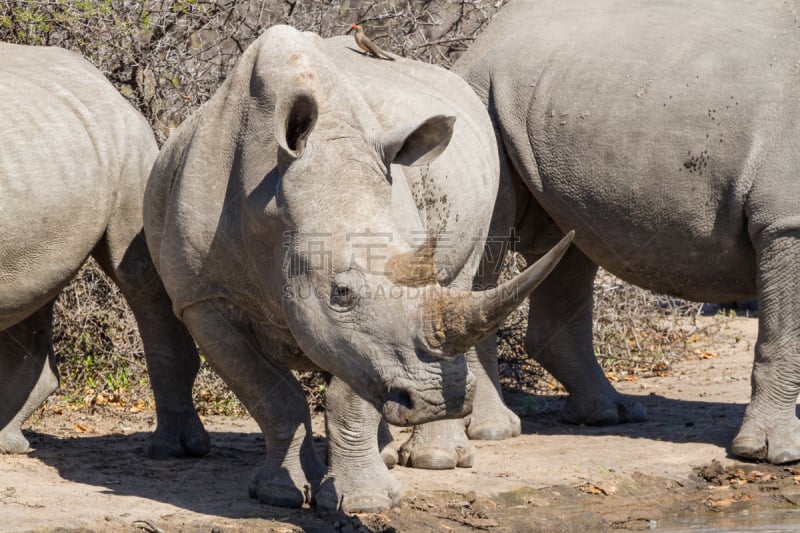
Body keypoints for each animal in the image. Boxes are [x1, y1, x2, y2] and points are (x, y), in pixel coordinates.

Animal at [142, 26, 568, 512]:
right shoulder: (202, 298)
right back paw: (389, 454)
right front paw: (280, 495)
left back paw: (434, 461)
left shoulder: (368, 335)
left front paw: (365, 502)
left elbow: (351, 388)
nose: (438, 399)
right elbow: (272, 395)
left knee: (463, 279)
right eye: (341, 292)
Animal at [450, 0, 800, 464]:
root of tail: (479, 42)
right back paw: (495, 431)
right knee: (490, 248)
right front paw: (771, 454)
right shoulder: (786, 221)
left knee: (568, 245)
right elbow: (785, 335)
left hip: (556, 101)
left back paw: (608, 414)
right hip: (480, 92)